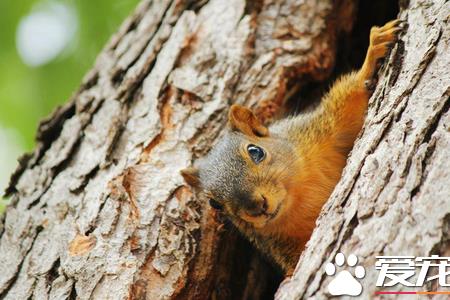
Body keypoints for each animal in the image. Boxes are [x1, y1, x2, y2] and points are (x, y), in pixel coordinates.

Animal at [181, 19, 402, 276]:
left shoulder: (319, 131)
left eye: (256, 151)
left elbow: (349, 100)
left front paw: (373, 50)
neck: (297, 198)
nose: (257, 207)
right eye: (214, 204)